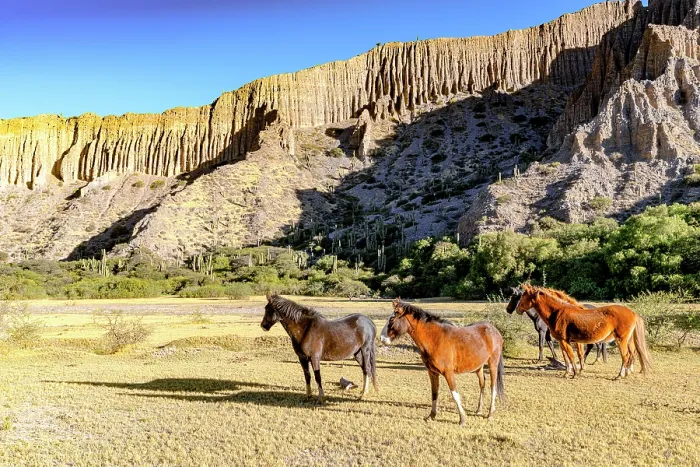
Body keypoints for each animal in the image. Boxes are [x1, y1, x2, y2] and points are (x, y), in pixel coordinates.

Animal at [513, 285, 651, 379]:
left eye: (524, 297)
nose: (517, 309)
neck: (557, 312)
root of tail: (632, 313)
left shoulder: (564, 340)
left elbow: (571, 355)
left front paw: (574, 373)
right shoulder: (569, 341)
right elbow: (572, 356)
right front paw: (570, 372)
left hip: (621, 340)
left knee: (626, 356)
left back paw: (620, 375)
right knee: (630, 355)